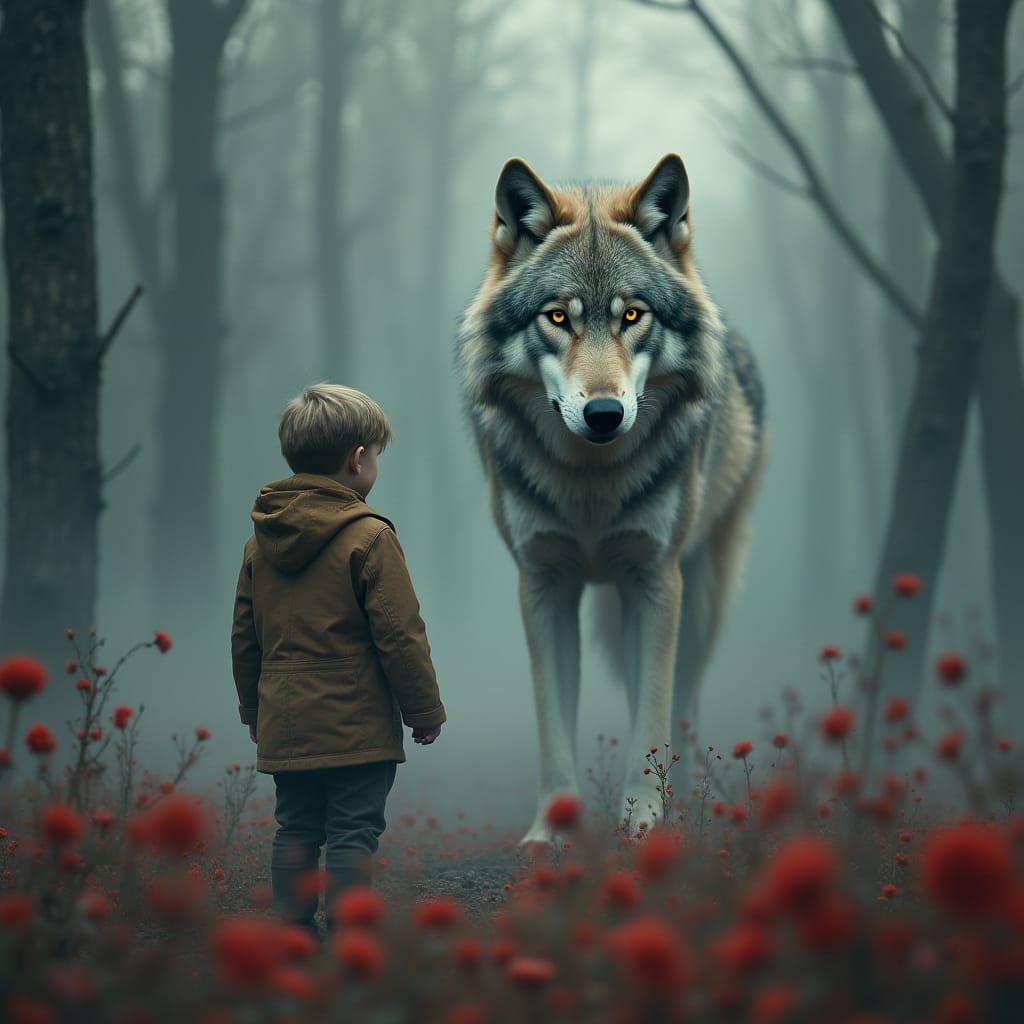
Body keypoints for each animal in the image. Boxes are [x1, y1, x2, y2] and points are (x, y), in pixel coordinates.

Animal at [455, 154, 765, 847]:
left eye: (632, 316)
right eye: (558, 317)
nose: (603, 414)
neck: (591, 487)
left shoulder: (655, 583)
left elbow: (651, 715)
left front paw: (646, 822)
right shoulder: (543, 586)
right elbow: (553, 726)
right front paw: (552, 833)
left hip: (701, 597)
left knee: (684, 700)